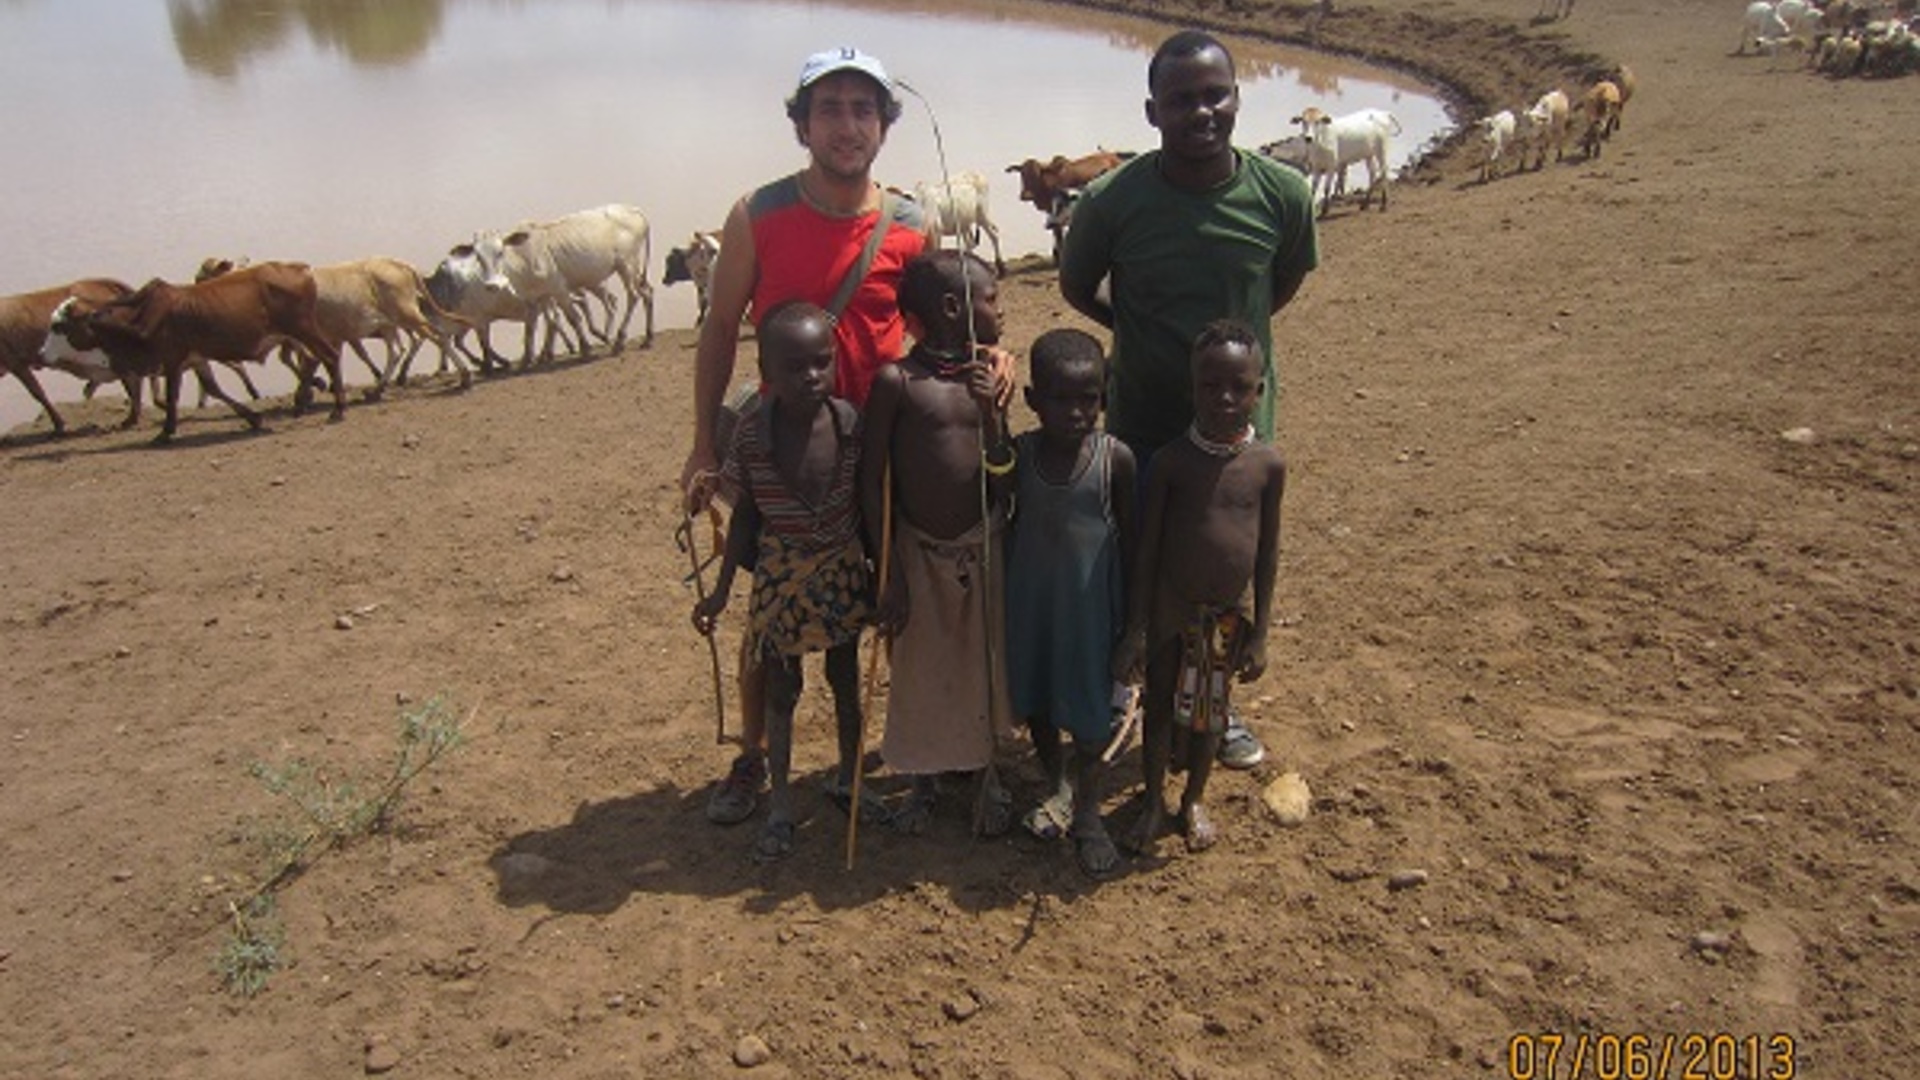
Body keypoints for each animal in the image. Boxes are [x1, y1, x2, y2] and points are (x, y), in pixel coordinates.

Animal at [47, 259, 345, 440]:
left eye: (59, 325)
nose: (42, 353)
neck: (141, 315)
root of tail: (300, 268)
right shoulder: (194, 359)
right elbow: (212, 388)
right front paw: (253, 418)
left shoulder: (171, 360)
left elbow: (172, 396)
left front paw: (165, 432)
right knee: (315, 359)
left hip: (303, 330)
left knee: (329, 356)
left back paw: (335, 408)